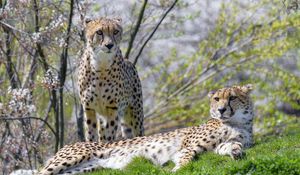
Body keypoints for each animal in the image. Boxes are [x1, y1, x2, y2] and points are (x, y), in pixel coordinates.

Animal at [39, 84, 255, 174]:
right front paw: (177, 169)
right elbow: (186, 157)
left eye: (232, 98)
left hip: (83, 169)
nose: (221, 110)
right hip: (70, 159)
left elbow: (231, 146)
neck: (237, 122)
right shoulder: (186, 147)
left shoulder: (219, 146)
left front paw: (236, 152)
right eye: (217, 99)